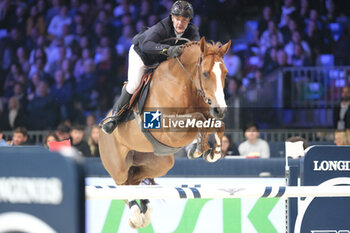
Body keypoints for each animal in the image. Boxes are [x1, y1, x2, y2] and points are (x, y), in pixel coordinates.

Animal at [98, 37, 231, 228]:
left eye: (225, 74)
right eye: (205, 73)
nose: (221, 110)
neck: (183, 83)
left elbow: (216, 125)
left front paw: (209, 152)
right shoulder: (167, 130)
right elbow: (198, 119)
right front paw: (199, 148)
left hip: (161, 163)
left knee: (134, 178)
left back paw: (144, 209)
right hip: (117, 165)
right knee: (122, 183)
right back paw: (136, 215)